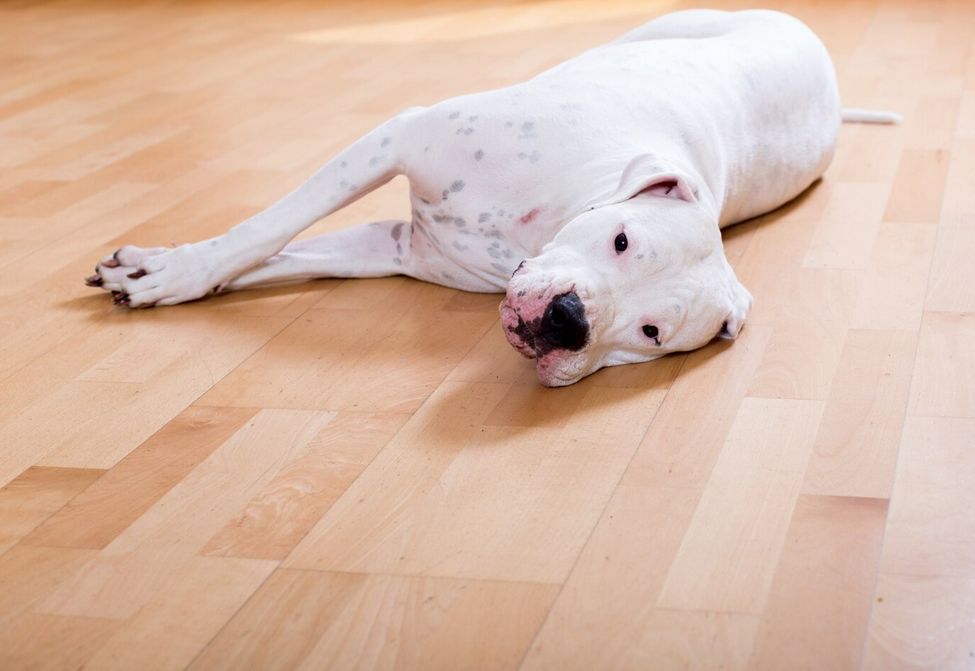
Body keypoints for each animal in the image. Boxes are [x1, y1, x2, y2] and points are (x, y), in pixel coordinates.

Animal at [86, 9, 900, 388]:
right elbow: (264, 230)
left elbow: (284, 256)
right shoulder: (395, 138)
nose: (568, 320)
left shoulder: (392, 248)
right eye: (621, 240)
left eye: (649, 334)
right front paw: (175, 270)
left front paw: (160, 274)